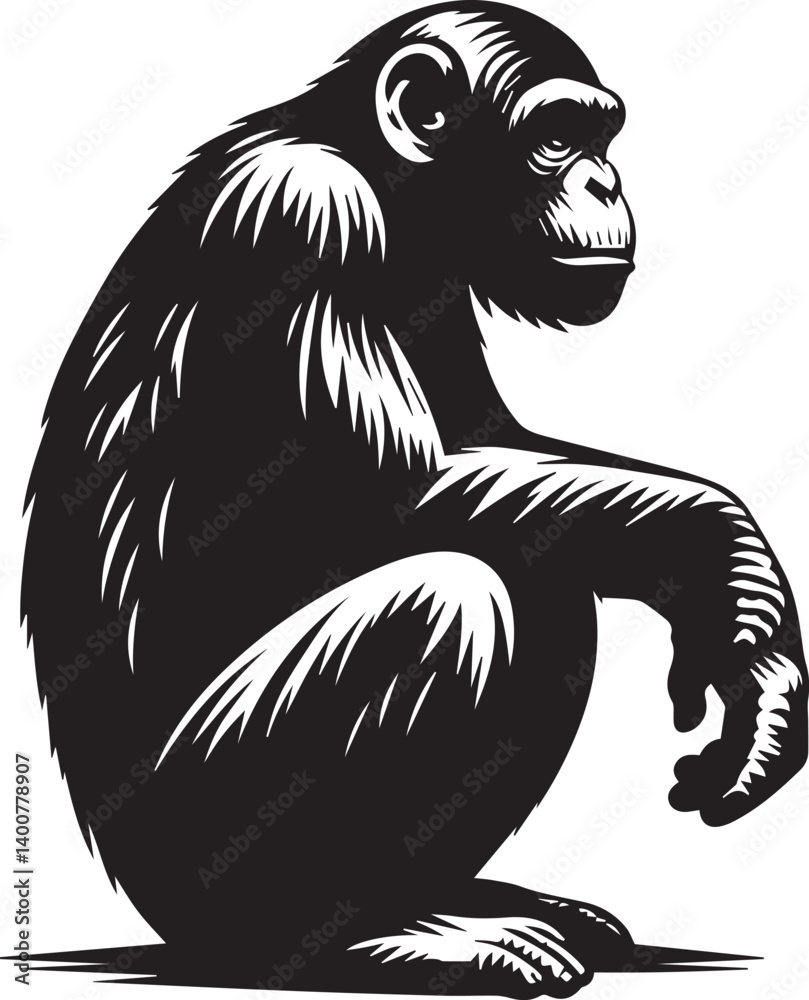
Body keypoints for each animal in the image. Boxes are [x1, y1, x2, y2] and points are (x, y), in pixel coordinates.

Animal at [21, 2, 808, 996]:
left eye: (601, 135)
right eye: (558, 136)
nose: (605, 181)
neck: (391, 184)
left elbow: (485, 444)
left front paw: (758, 655)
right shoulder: (302, 213)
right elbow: (396, 491)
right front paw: (726, 556)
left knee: (545, 582)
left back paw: (468, 905)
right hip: (192, 831)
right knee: (449, 598)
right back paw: (353, 937)